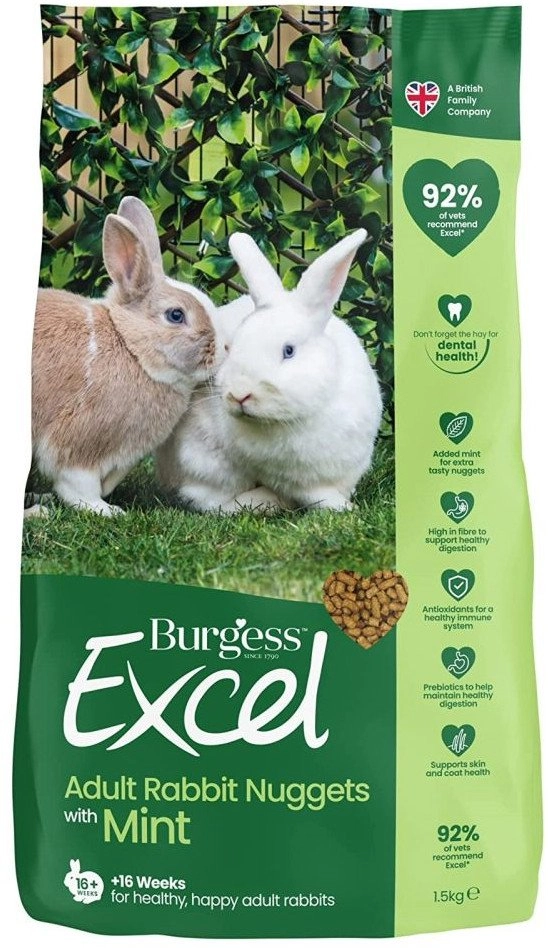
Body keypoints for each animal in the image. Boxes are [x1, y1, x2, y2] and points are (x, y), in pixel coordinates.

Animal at [32, 196, 217, 515]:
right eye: (176, 315)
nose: (223, 348)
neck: (130, 348)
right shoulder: (79, 441)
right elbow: (77, 484)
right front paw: (105, 511)